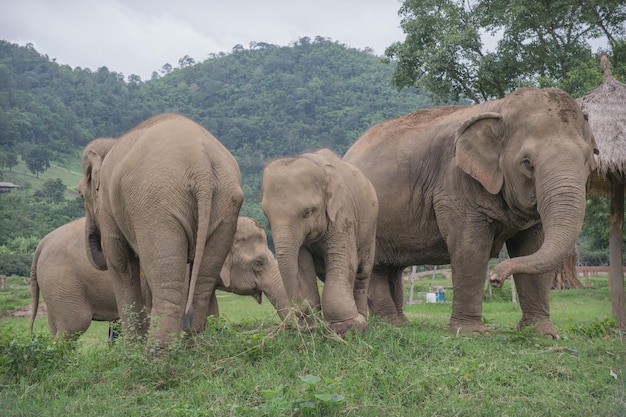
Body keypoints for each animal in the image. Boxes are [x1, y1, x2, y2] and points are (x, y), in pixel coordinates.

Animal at [29, 216, 288, 340]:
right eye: (258, 262)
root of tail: (41, 244)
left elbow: (210, 313)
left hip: (56, 288)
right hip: (63, 283)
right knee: (74, 326)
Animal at [77, 112, 243, 346]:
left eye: (80, 194)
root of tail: (200, 166)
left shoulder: (109, 206)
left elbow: (120, 262)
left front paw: (131, 350)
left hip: (156, 205)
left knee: (166, 285)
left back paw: (156, 354)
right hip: (226, 207)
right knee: (202, 284)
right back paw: (189, 347)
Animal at [258, 148, 376, 334]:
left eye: (307, 212)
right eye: (266, 215)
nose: (302, 308)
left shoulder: (343, 214)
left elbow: (342, 258)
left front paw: (346, 327)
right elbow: (302, 264)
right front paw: (310, 327)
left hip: (370, 229)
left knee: (362, 273)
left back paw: (361, 319)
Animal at [344, 88, 596, 338]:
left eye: (588, 159)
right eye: (527, 163)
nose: (495, 279)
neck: (500, 107)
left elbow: (531, 247)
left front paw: (542, 333)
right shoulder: (454, 184)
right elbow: (471, 246)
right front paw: (471, 333)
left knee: (393, 269)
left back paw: (402, 323)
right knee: (376, 267)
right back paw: (390, 325)